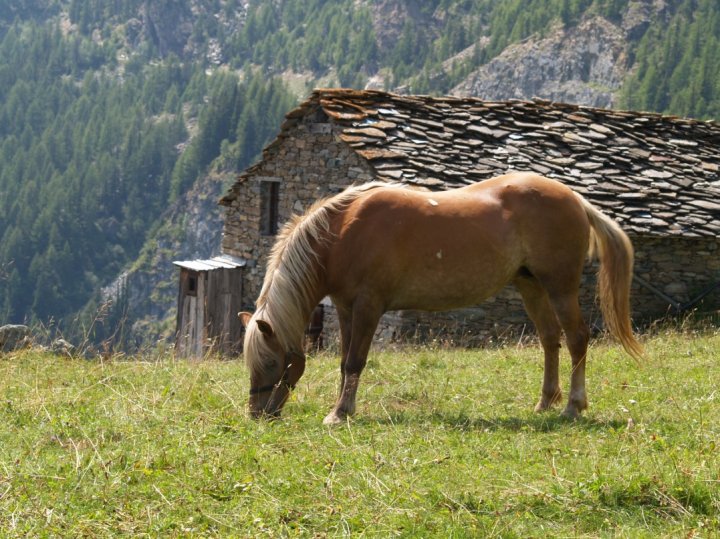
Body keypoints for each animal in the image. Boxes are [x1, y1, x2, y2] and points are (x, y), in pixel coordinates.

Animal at [239, 172, 644, 422]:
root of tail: (575, 198)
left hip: (560, 286)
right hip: (531, 286)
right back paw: (545, 402)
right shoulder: (344, 308)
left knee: (576, 338)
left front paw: (340, 414)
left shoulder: (369, 306)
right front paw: (343, 407)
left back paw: (573, 406)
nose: (258, 413)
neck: (341, 233)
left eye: (271, 362)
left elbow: (355, 361)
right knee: (549, 340)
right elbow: (343, 363)